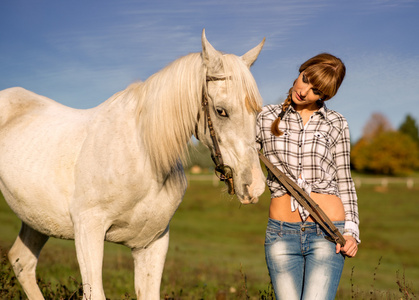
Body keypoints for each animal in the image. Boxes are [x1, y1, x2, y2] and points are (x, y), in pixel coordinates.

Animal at [0, 29, 266, 298]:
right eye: (221, 111)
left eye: (257, 112)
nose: (254, 186)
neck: (144, 160)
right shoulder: (88, 231)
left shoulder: (152, 242)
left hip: (36, 220)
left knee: (22, 262)